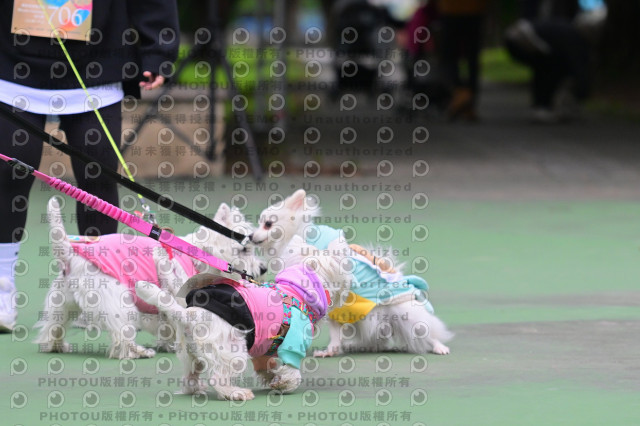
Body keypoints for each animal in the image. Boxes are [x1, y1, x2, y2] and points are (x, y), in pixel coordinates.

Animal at [34, 197, 265, 359]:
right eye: (244, 249)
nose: (263, 269)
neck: (198, 255)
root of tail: (68, 253)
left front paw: (169, 344)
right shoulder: (177, 294)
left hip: (62, 303)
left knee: (53, 326)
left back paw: (56, 346)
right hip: (117, 301)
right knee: (122, 335)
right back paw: (139, 352)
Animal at [136, 234, 352, 400]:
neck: (297, 291)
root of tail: (189, 315)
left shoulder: (264, 347)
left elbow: (265, 365)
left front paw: (272, 378)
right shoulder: (293, 341)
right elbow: (292, 372)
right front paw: (284, 383)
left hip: (190, 353)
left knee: (190, 377)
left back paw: (196, 388)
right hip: (232, 350)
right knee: (219, 378)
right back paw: (236, 393)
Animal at [251, 189, 453, 357]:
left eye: (268, 224)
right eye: (259, 223)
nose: (251, 236)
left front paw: (329, 349)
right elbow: (334, 330)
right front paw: (331, 350)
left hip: (406, 315)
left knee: (427, 330)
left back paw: (439, 347)